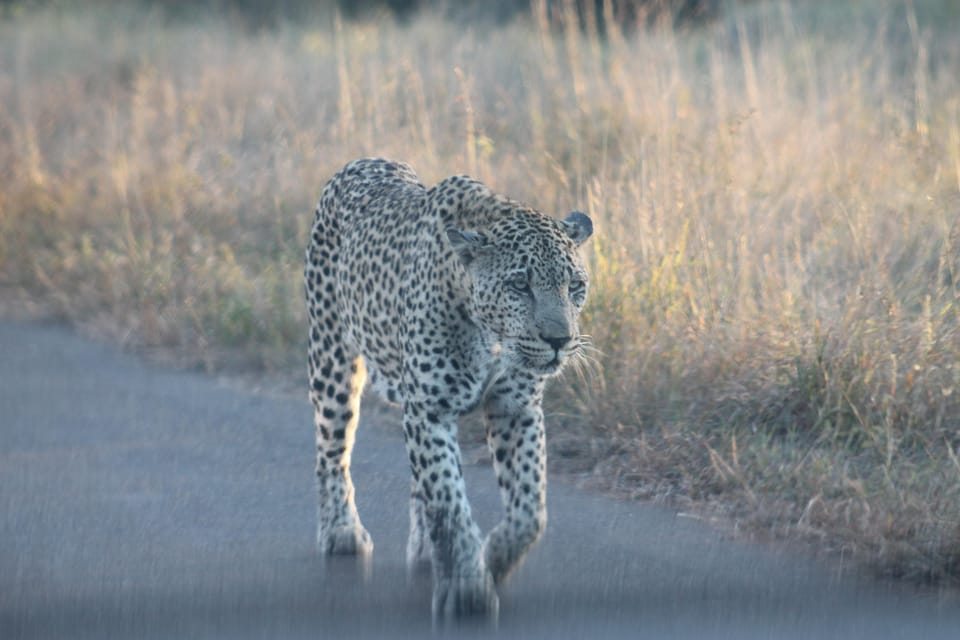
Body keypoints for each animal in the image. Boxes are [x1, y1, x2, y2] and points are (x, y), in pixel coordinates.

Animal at [306, 158, 592, 624]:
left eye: (576, 286)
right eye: (520, 285)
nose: (559, 340)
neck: (490, 336)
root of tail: (364, 162)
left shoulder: (516, 407)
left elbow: (530, 509)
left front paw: (493, 558)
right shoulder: (430, 410)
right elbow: (449, 499)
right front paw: (469, 588)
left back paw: (427, 551)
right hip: (332, 361)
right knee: (332, 453)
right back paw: (342, 531)